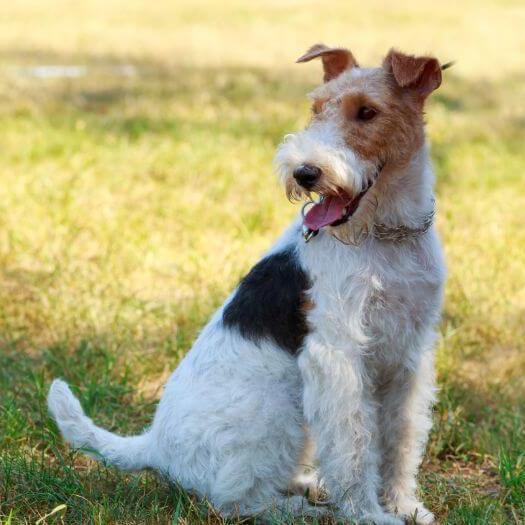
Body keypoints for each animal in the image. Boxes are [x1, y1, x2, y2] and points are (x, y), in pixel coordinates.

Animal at [46, 46, 446, 524]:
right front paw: (368, 514)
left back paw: (310, 485)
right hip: (277, 414)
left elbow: (400, 437)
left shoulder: (408, 353)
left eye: (367, 112)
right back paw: (301, 508)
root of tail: (153, 445)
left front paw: (405, 505)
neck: (387, 235)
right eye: (316, 108)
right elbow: (355, 447)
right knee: (236, 500)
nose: (304, 173)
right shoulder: (338, 356)